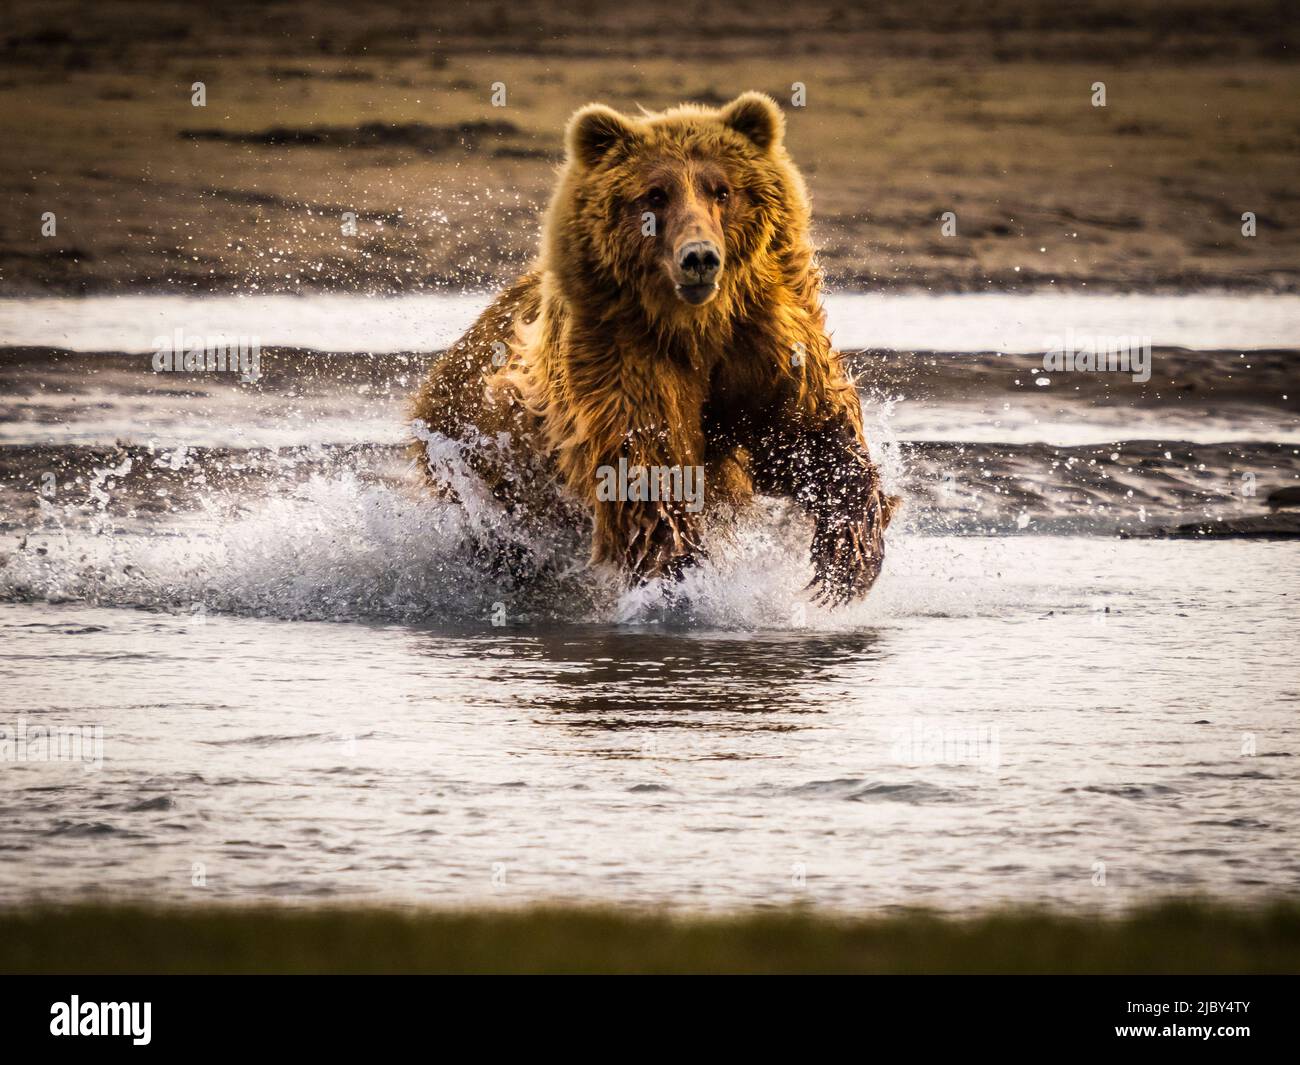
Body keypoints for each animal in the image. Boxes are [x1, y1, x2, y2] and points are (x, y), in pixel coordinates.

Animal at [410, 91, 899, 603]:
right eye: (655, 194)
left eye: (721, 189)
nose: (700, 257)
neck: (696, 325)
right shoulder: (625, 358)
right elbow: (649, 468)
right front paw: (683, 578)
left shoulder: (763, 335)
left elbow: (810, 430)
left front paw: (845, 562)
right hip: (477, 462)